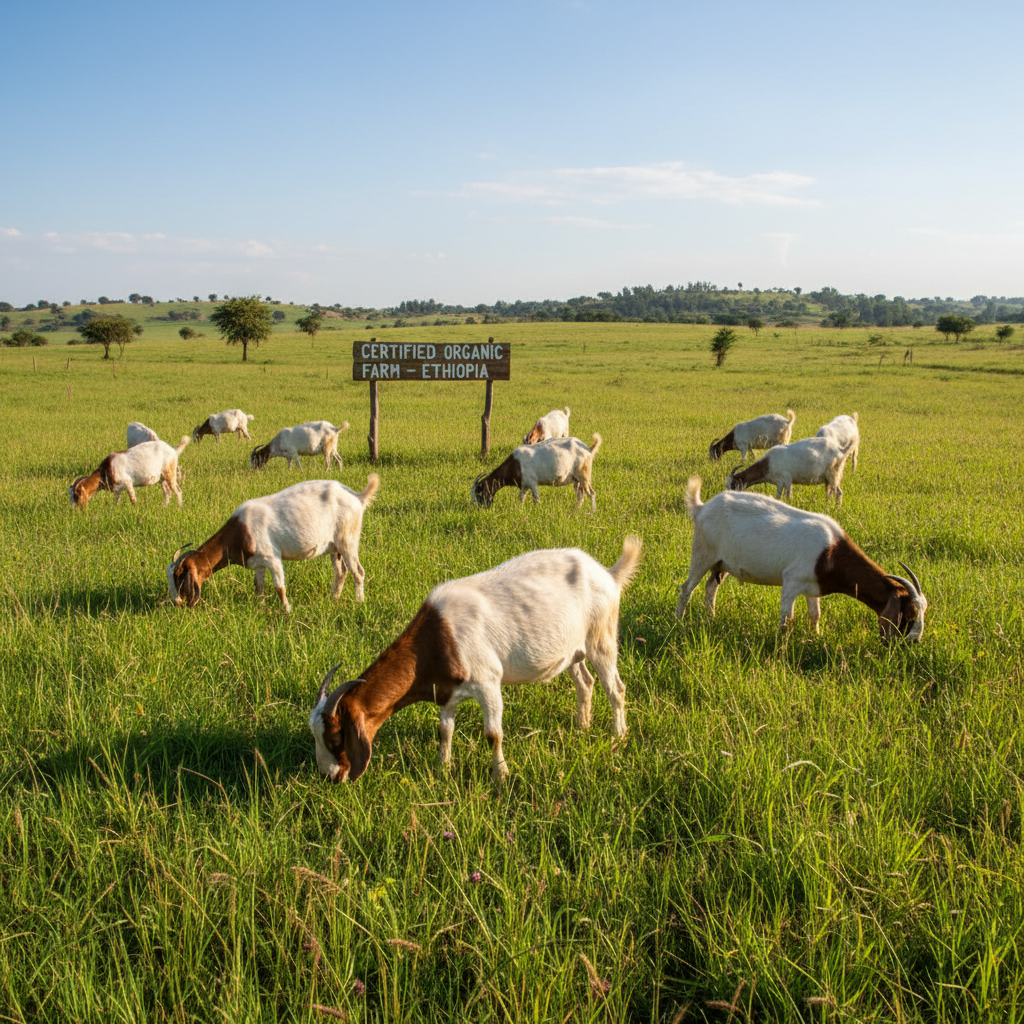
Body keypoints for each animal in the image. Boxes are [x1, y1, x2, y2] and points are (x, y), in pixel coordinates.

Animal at [167, 475, 378, 613]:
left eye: (179, 577)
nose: (178, 603)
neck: (241, 530)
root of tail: (357, 496)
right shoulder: (258, 563)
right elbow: (258, 585)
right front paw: (259, 606)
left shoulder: (272, 557)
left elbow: (279, 587)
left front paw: (287, 610)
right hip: (335, 547)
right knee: (341, 572)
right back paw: (333, 599)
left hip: (348, 540)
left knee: (358, 572)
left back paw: (359, 602)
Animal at [309, 535, 642, 785]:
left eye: (336, 738)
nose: (330, 777)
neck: (439, 636)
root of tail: (608, 573)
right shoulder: (446, 692)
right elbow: (445, 730)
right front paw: (444, 769)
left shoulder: (488, 682)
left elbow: (493, 734)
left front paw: (500, 776)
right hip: (573, 650)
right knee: (585, 682)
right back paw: (582, 725)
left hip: (601, 637)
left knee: (616, 688)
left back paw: (619, 736)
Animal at [471, 434, 602, 511]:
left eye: (479, 492)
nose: (480, 509)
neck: (516, 463)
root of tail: (588, 449)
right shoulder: (524, 485)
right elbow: (521, 499)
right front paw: (520, 511)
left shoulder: (532, 482)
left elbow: (536, 500)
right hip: (576, 480)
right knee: (580, 496)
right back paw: (575, 512)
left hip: (584, 475)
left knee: (591, 493)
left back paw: (592, 512)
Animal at [675, 477, 926, 640]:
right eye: (907, 615)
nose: (912, 642)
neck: (831, 553)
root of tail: (701, 508)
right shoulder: (791, 582)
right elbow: (787, 620)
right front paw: (781, 647)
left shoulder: (812, 587)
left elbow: (815, 615)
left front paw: (815, 637)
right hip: (703, 552)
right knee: (687, 588)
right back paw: (679, 621)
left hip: (722, 563)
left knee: (711, 586)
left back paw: (710, 618)